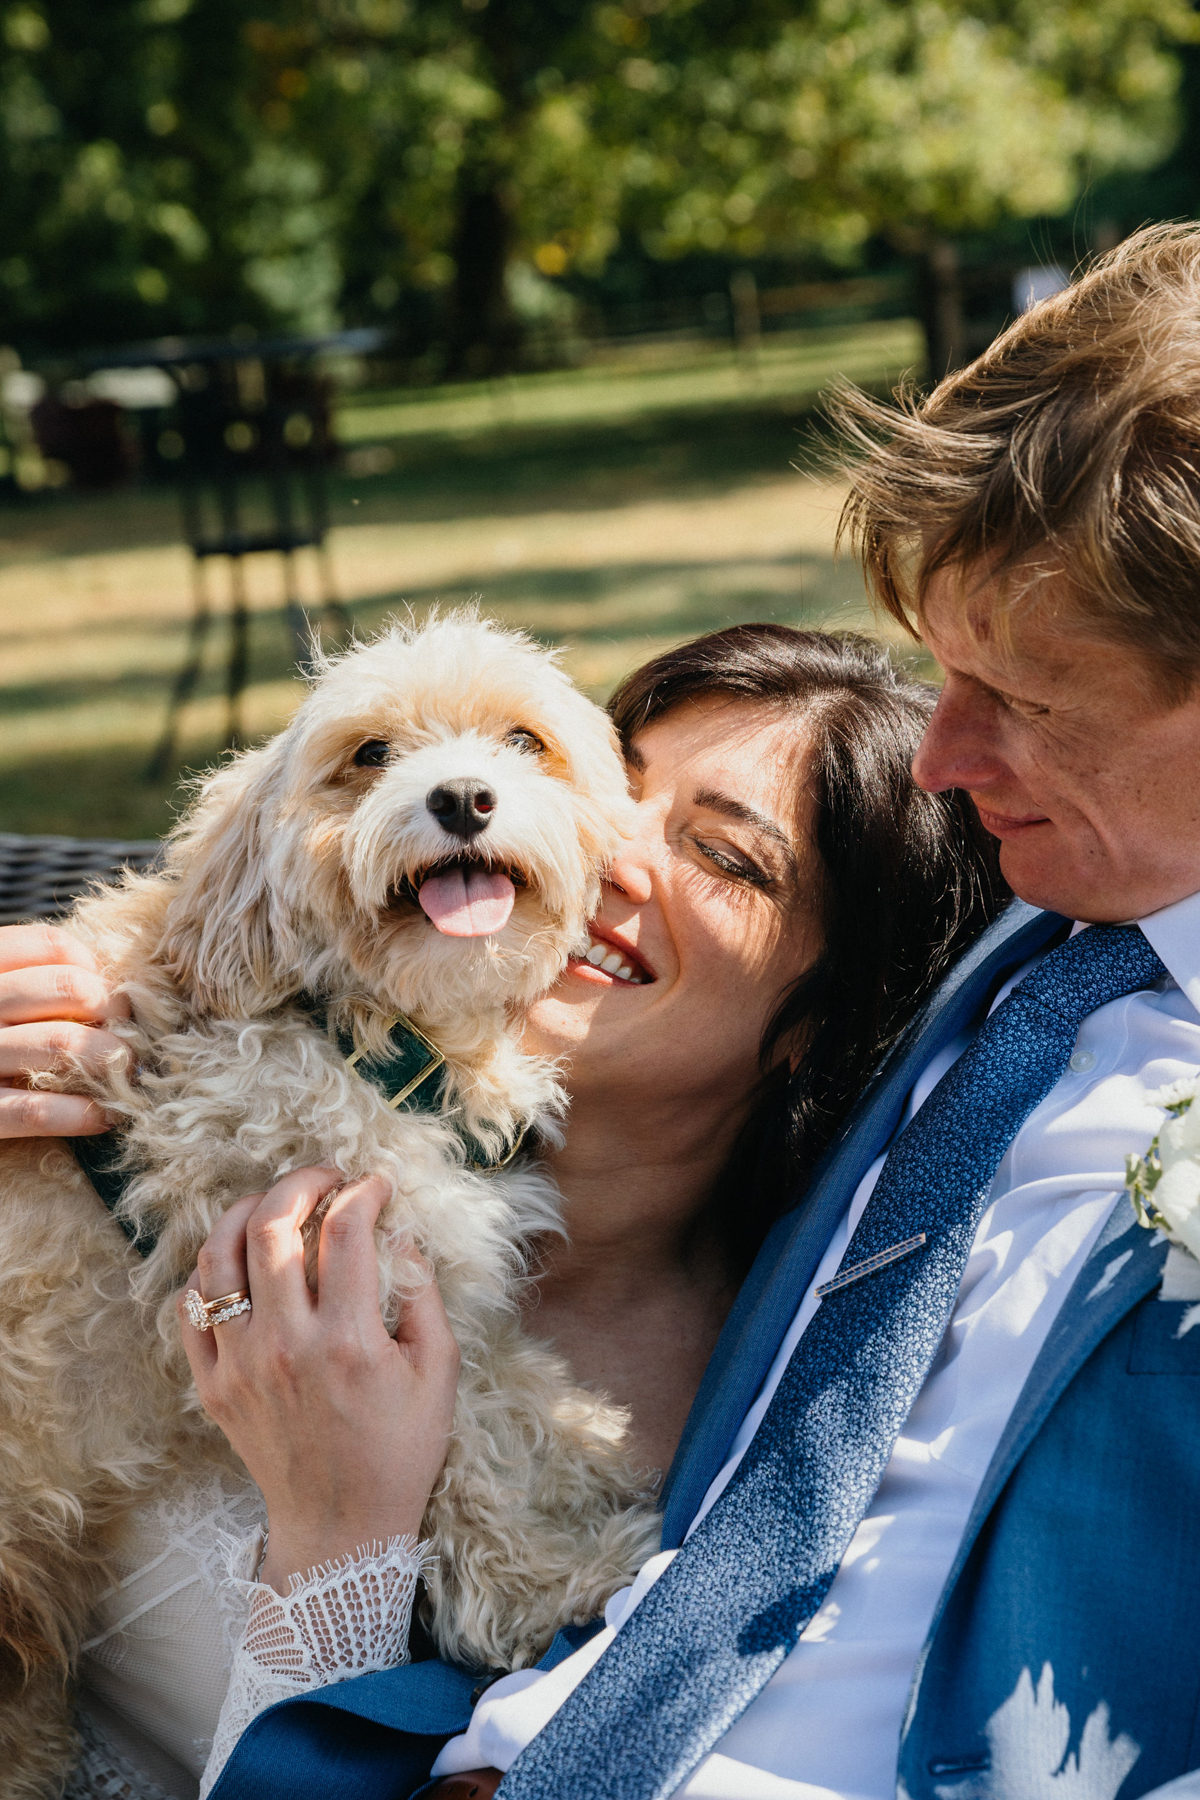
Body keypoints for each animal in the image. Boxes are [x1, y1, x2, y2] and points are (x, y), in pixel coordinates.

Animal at [0, 615, 662, 1785]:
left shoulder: (426, 1256)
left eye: (523, 741)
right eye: (370, 755)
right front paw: (555, 1586)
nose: (464, 798)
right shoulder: (350, 1261)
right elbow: (461, 1453)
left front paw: (584, 1435)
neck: (362, 1031)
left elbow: (502, 1386)